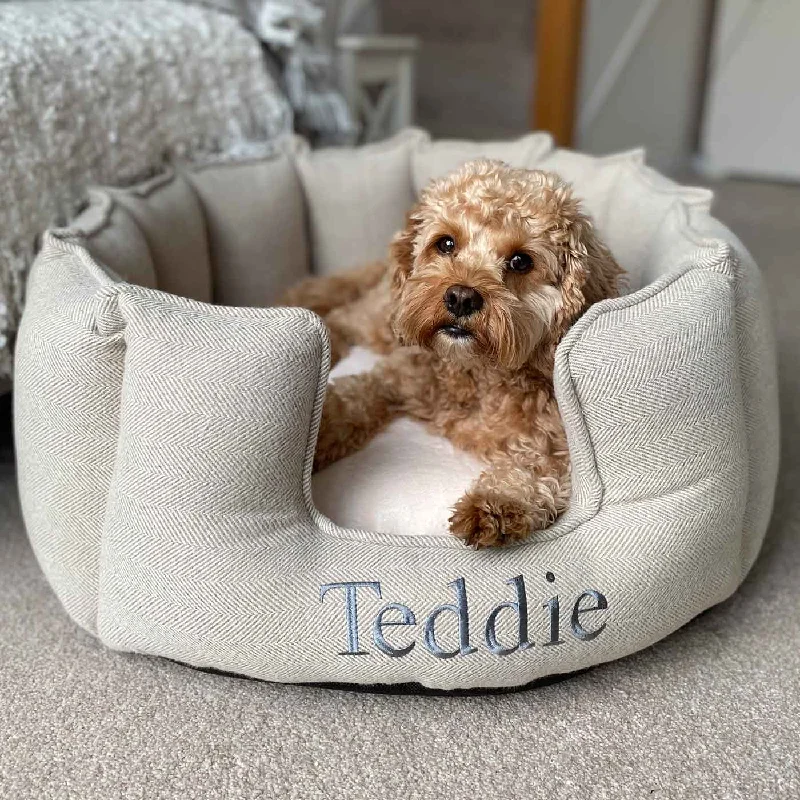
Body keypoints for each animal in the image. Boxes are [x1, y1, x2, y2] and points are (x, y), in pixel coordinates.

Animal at [282, 161, 624, 552]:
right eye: (446, 243)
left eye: (521, 261)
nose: (461, 297)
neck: (477, 372)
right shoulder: (394, 377)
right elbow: (350, 400)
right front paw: (316, 435)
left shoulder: (557, 443)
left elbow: (538, 468)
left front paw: (498, 500)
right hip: (384, 320)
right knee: (340, 317)